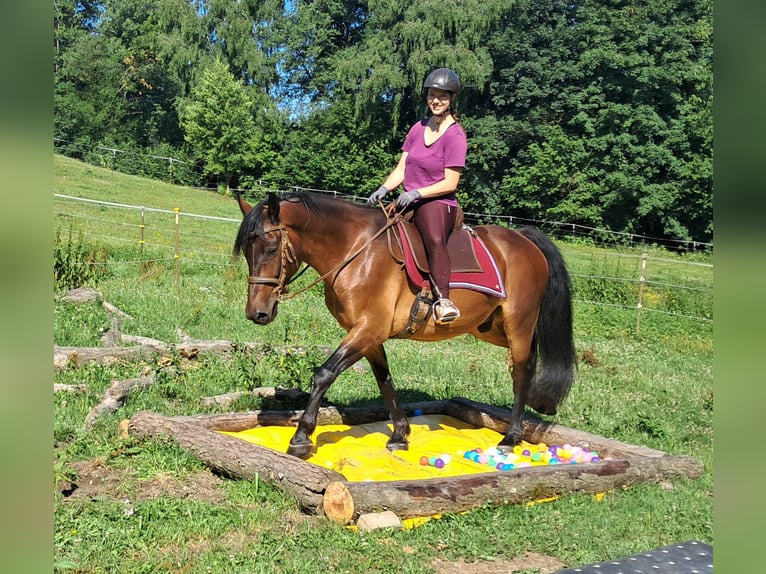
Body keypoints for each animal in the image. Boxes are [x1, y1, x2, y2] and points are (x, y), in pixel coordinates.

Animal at [233, 191, 576, 459]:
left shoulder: (368, 329)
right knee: (525, 364)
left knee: (522, 371)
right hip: (492, 327)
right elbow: (384, 380)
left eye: (272, 248)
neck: (356, 251)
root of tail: (523, 239)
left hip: (519, 323)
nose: (256, 313)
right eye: (248, 252)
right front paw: (400, 434)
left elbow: (324, 374)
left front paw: (301, 438)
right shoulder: (370, 335)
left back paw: (512, 436)